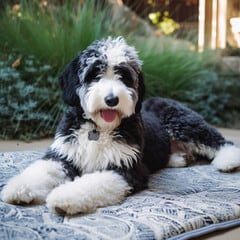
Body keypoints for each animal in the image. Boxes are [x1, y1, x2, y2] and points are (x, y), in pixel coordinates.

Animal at [1, 36, 240, 215]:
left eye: (124, 76)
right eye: (95, 73)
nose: (111, 99)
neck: (98, 130)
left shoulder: (127, 168)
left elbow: (94, 181)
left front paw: (64, 196)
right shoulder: (64, 155)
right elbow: (42, 169)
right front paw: (18, 187)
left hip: (183, 122)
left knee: (218, 140)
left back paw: (228, 160)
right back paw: (179, 158)